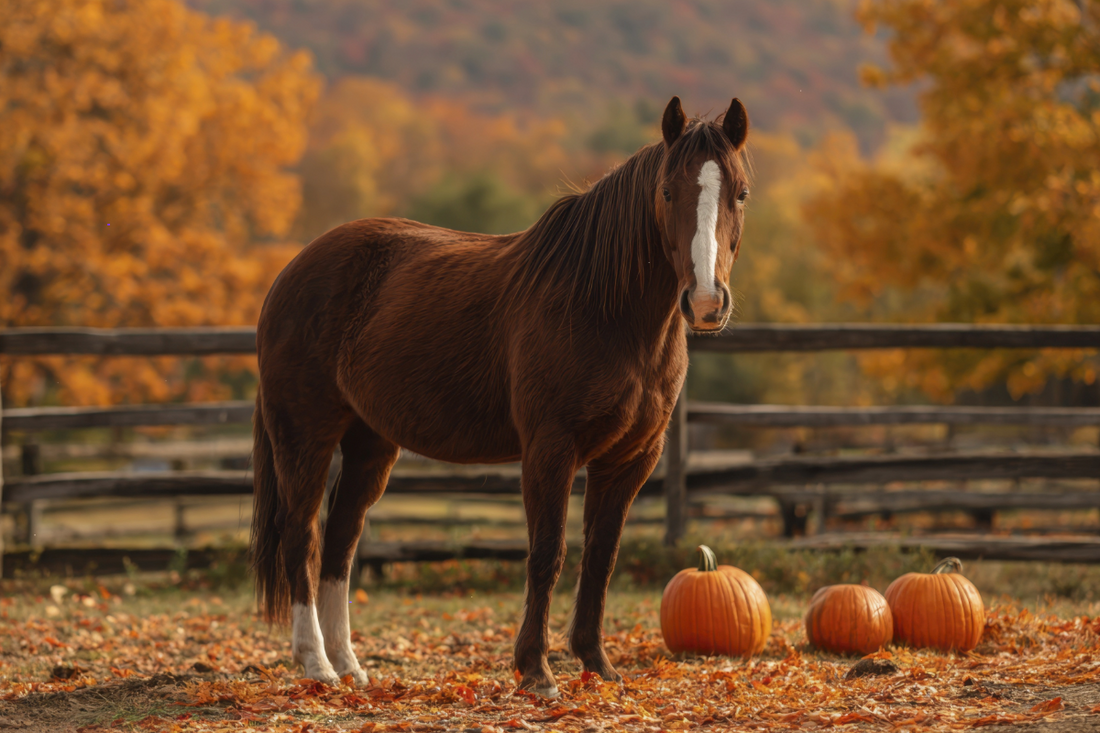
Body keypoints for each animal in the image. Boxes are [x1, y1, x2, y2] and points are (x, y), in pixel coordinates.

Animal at [250, 95, 751, 698]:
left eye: (740, 193)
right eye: (669, 192)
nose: (705, 302)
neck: (603, 309)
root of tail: (292, 271)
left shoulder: (630, 459)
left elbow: (601, 557)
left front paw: (597, 664)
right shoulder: (550, 450)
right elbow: (547, 553)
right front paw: (535, 671)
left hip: (370, 443)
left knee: (342, 540)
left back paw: (349, 666)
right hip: (305, 435)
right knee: (301, 535)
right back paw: (317, 665)